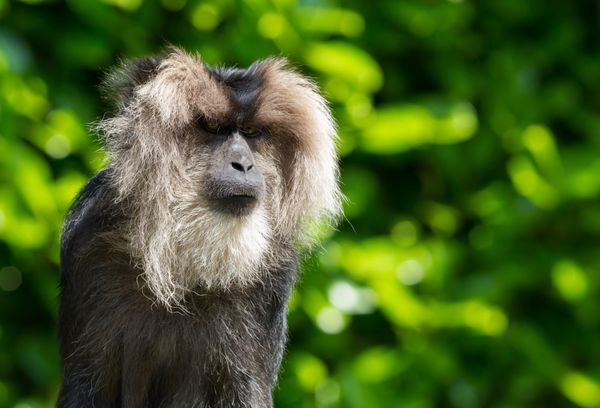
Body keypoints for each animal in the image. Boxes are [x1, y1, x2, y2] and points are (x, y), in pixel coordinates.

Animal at [56, 48, 342, 408]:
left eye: (250, 131)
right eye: (213, 127)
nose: (244, 164)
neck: (184, 265)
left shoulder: (269, 283)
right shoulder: (90, 247)